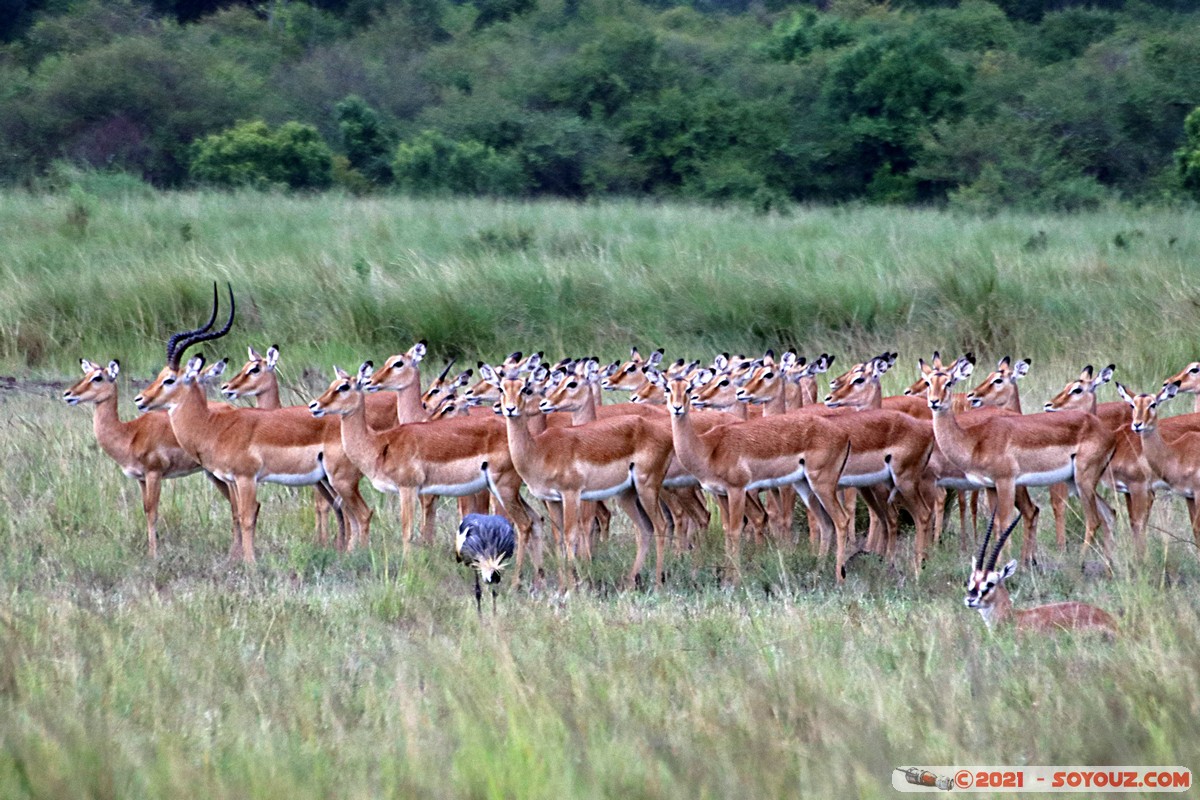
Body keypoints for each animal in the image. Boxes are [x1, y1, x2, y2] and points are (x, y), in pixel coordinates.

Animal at [63, 358, 232, 558]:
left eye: (97, 377)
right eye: (86, 374)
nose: (68, 394)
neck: (129, 434)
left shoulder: (154, 473)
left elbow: (152, 512)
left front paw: (153, 554)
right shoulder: (141, 479)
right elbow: (145, 510)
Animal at [134, 284, 373, 561]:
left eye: (170, 380)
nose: (141, 399)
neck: (213, 426)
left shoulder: (246, 478)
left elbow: (248, 517)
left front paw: (250, 564)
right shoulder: (232, 480)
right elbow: (238, 515)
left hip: (341, 480)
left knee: (363, 514)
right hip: (330, 481)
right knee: (350, 515)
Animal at [924, 356, 1116, 564]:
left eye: (949, 383)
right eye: (928, 383)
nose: (934, 401)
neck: (976, 439)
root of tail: (1106, 432)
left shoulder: (1006, 482)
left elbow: (1006, 522)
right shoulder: (991, 486)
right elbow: (997, 523)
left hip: (1083, 481)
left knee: (1093, 520)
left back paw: (1079, 562)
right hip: (1077, 483)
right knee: (1109, 514)